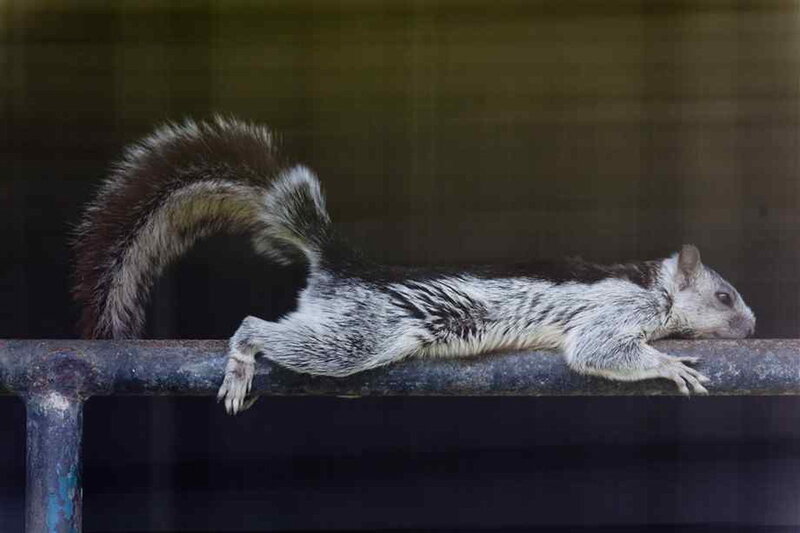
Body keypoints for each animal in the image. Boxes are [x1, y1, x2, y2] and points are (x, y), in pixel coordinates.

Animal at [73, 116, 756, 414]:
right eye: (725, 297)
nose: (751, 327)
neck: (656, 285)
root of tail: (341, 267)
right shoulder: (619, 309)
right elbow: (598, 350)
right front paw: (669, 364)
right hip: (359, 335)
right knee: (255, 328)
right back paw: (242, 357)